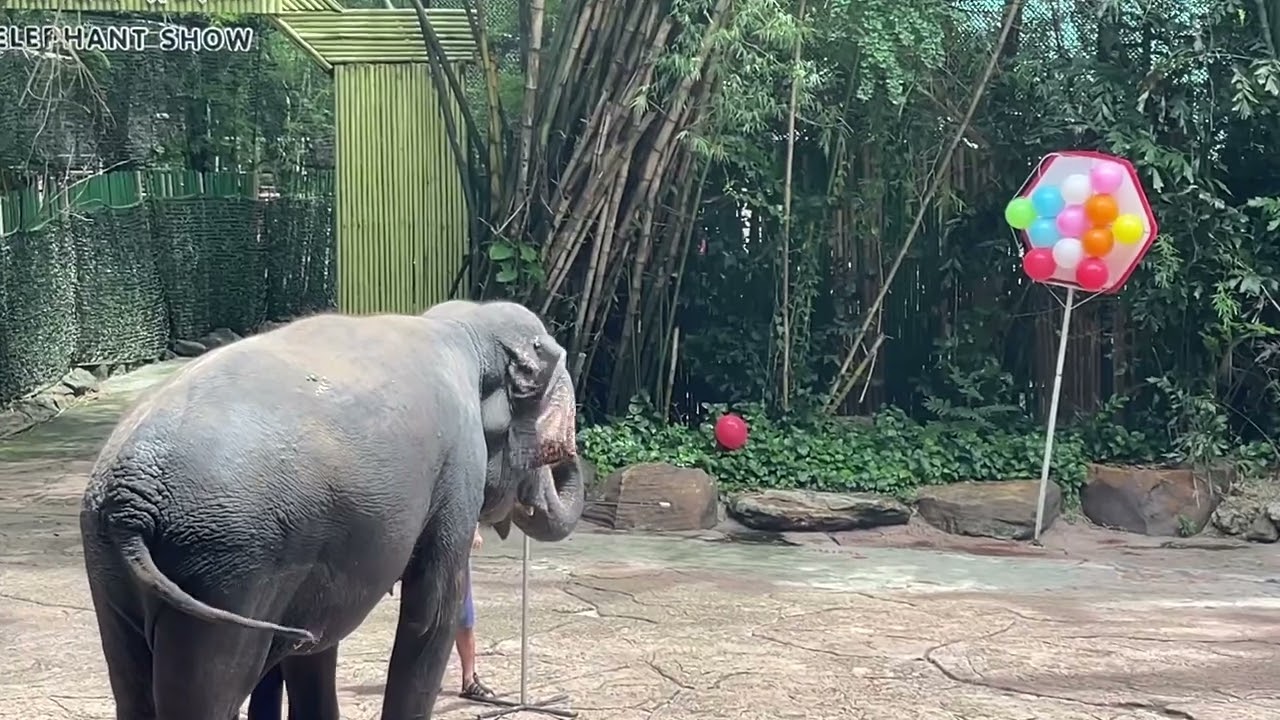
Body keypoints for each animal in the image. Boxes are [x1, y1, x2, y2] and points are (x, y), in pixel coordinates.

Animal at [80, 300, 587, 720]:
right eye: (550, 447)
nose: (572, 456)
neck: (461, 326)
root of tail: (130, 493)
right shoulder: (458, 463)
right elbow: (431, 613)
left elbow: (316, 639)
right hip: (224, 561)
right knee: (209, 688)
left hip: (111, 566)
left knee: (132, 684)